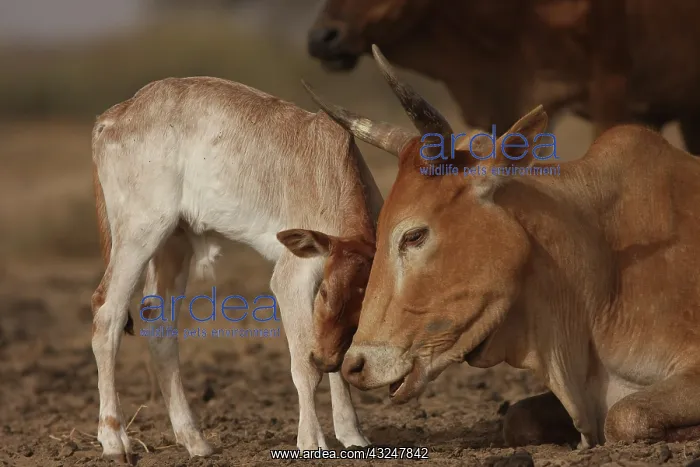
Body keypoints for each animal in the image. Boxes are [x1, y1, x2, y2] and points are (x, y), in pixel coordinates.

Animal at [90, 76, 381, 462]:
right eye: (328, 294)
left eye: (365, 303)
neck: (328, 167)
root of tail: (113, 117)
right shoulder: (292, 278)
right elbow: (306, 365)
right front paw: (311, 442)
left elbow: (332, 360)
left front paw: (353, 435)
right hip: (140, 234)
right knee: (107, 313)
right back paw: (114, 440)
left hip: (174, 243)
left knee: (159, 324)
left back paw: (194, 440)